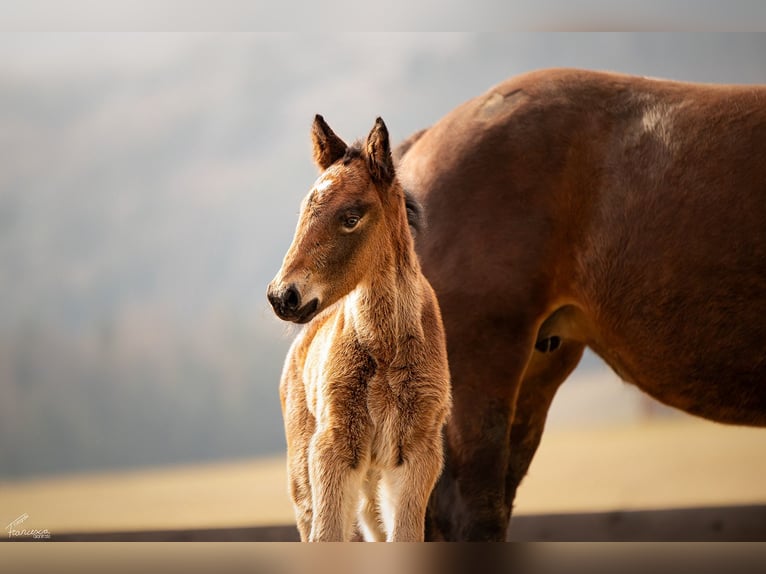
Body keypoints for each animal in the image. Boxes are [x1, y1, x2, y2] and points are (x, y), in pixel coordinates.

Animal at [267, 116, 451, 542]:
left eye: (351, 218)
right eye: (305, 211)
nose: (283, 296)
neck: (385, 349)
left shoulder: (417, 454)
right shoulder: (333, 449)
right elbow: (326, 536)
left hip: (372, 483)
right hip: (304, 478)